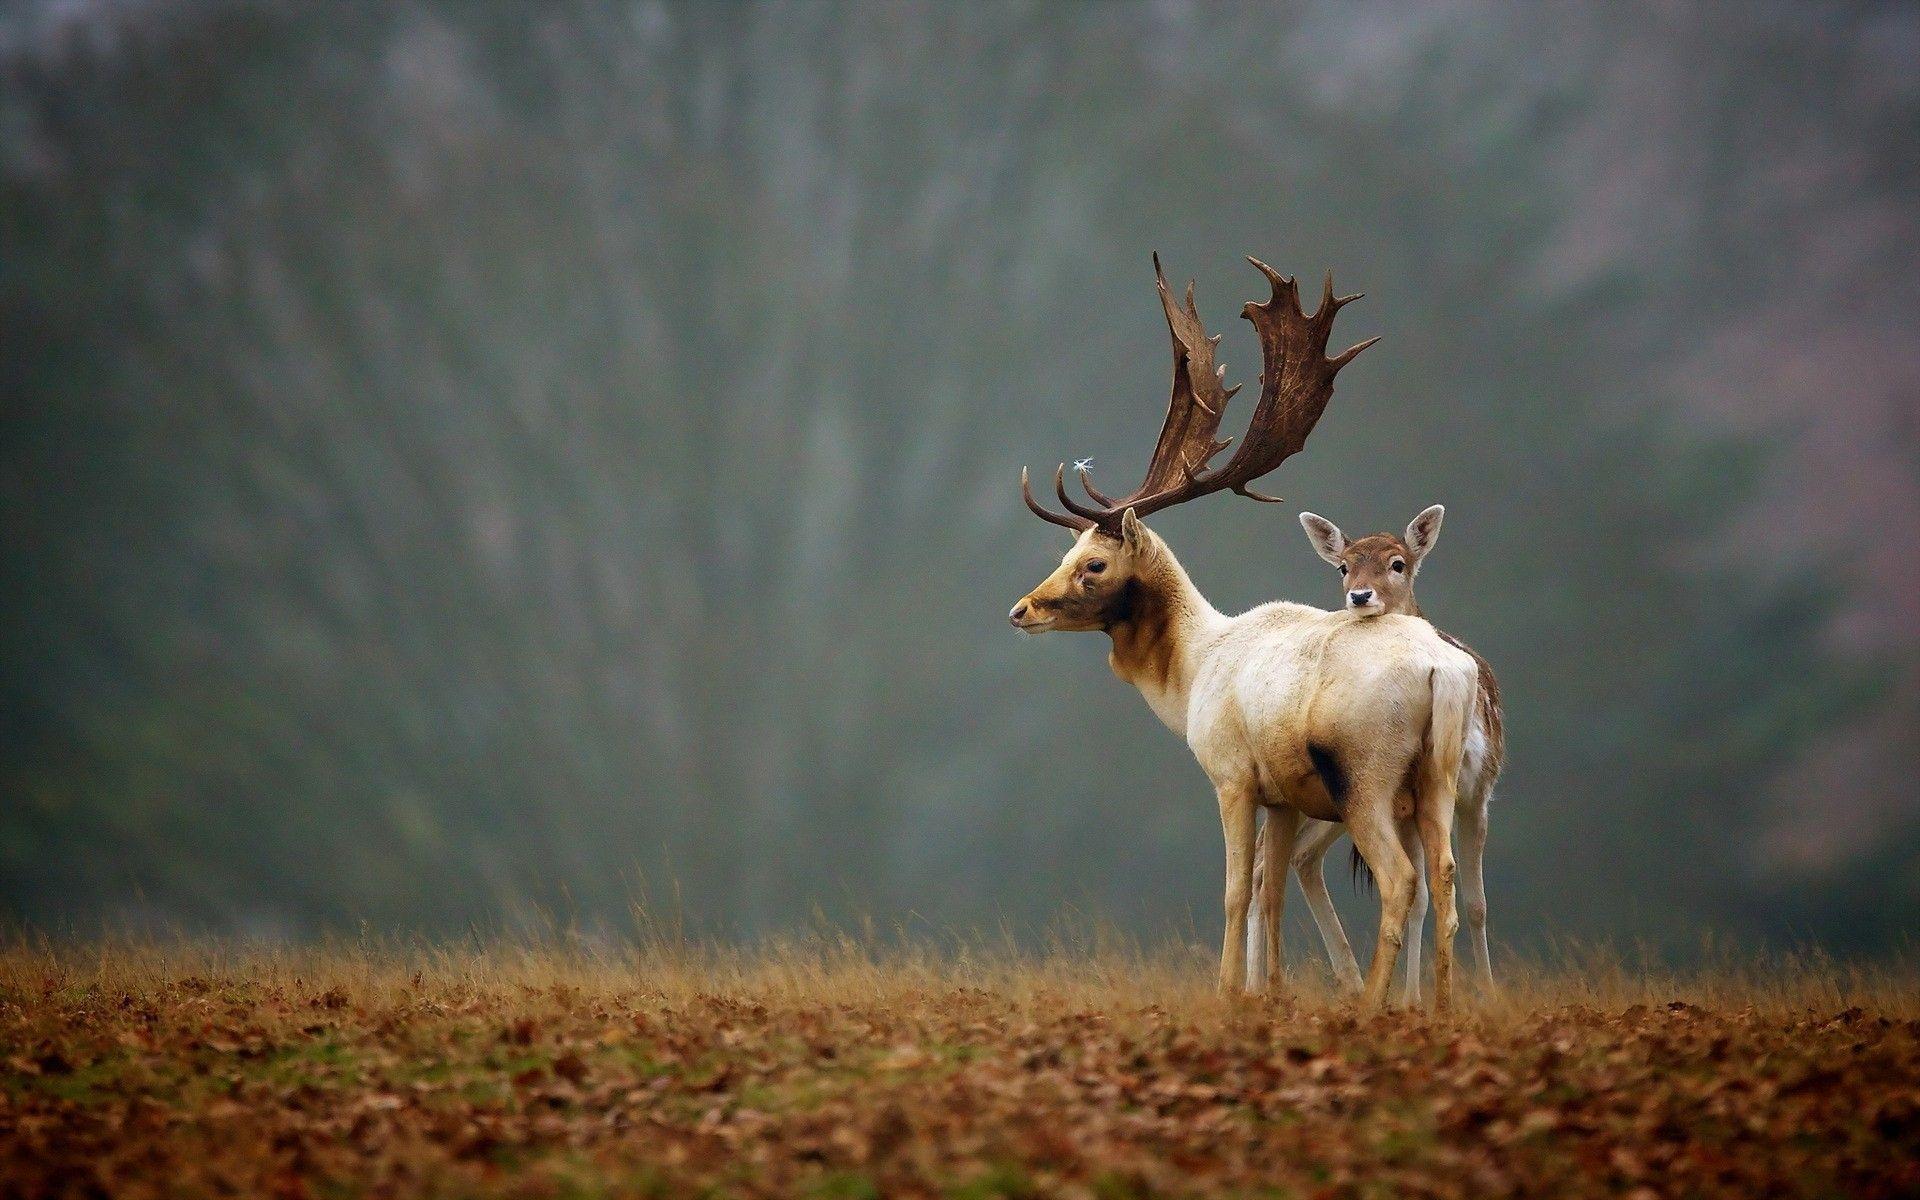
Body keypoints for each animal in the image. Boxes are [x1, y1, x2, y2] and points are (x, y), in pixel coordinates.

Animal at [1009, 254, 1481, 1011]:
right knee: (1445, 877)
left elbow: (1235, 890)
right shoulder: (1283, 794)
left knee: (1401, 880)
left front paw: (1229, 990)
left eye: (1093, 564)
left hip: (1367, 775)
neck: (1193, 672)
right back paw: (1436, 1007)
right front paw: (1272, 992)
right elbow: (1271, 893)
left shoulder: (1231, 774)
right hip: (1437, 776)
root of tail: (1445, 671)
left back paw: (1372, 1004)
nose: (1022, 610)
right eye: (1066, 551)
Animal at [1245, 506, 1507, 1002]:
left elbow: (1477, 902)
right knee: (1269, 864)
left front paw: (1483, 993)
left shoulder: (1479, 789)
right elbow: (1424, 896)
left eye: (1397, 563)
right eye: (1343, 566)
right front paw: (1412, 999)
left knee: (1289, 860)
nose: (1360, 596)